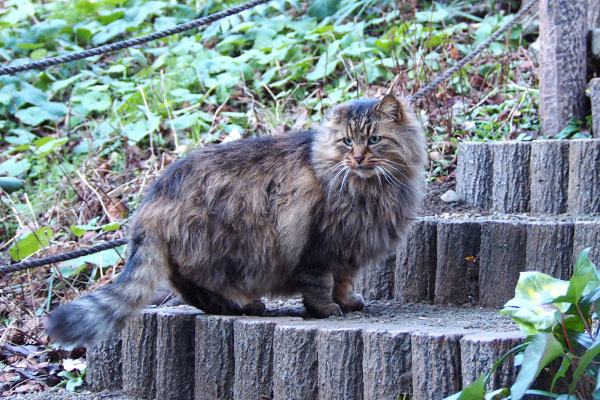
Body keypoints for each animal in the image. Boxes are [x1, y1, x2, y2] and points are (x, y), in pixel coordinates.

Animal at [45, 94, 426, 346]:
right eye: (347, 142)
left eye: (374, 140)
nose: (358, 158)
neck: (371, 190)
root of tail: (153, 198)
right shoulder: (321, 248)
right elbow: (320, 285)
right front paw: (326, 309)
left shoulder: (348, 250)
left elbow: (344, 282)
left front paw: (348, 302)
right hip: (223, 246)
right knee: (198, 284)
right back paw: (247, 304)